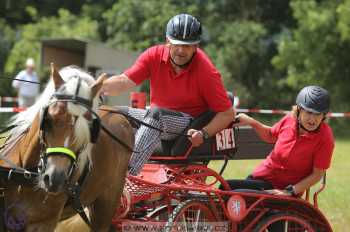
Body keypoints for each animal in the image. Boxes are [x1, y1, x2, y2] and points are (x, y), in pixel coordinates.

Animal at [0, 64, 134, 231]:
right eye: (49, 119)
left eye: (89, 128)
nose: (55, 179)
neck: (26, 176)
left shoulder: (43, 223)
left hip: (106, 207)